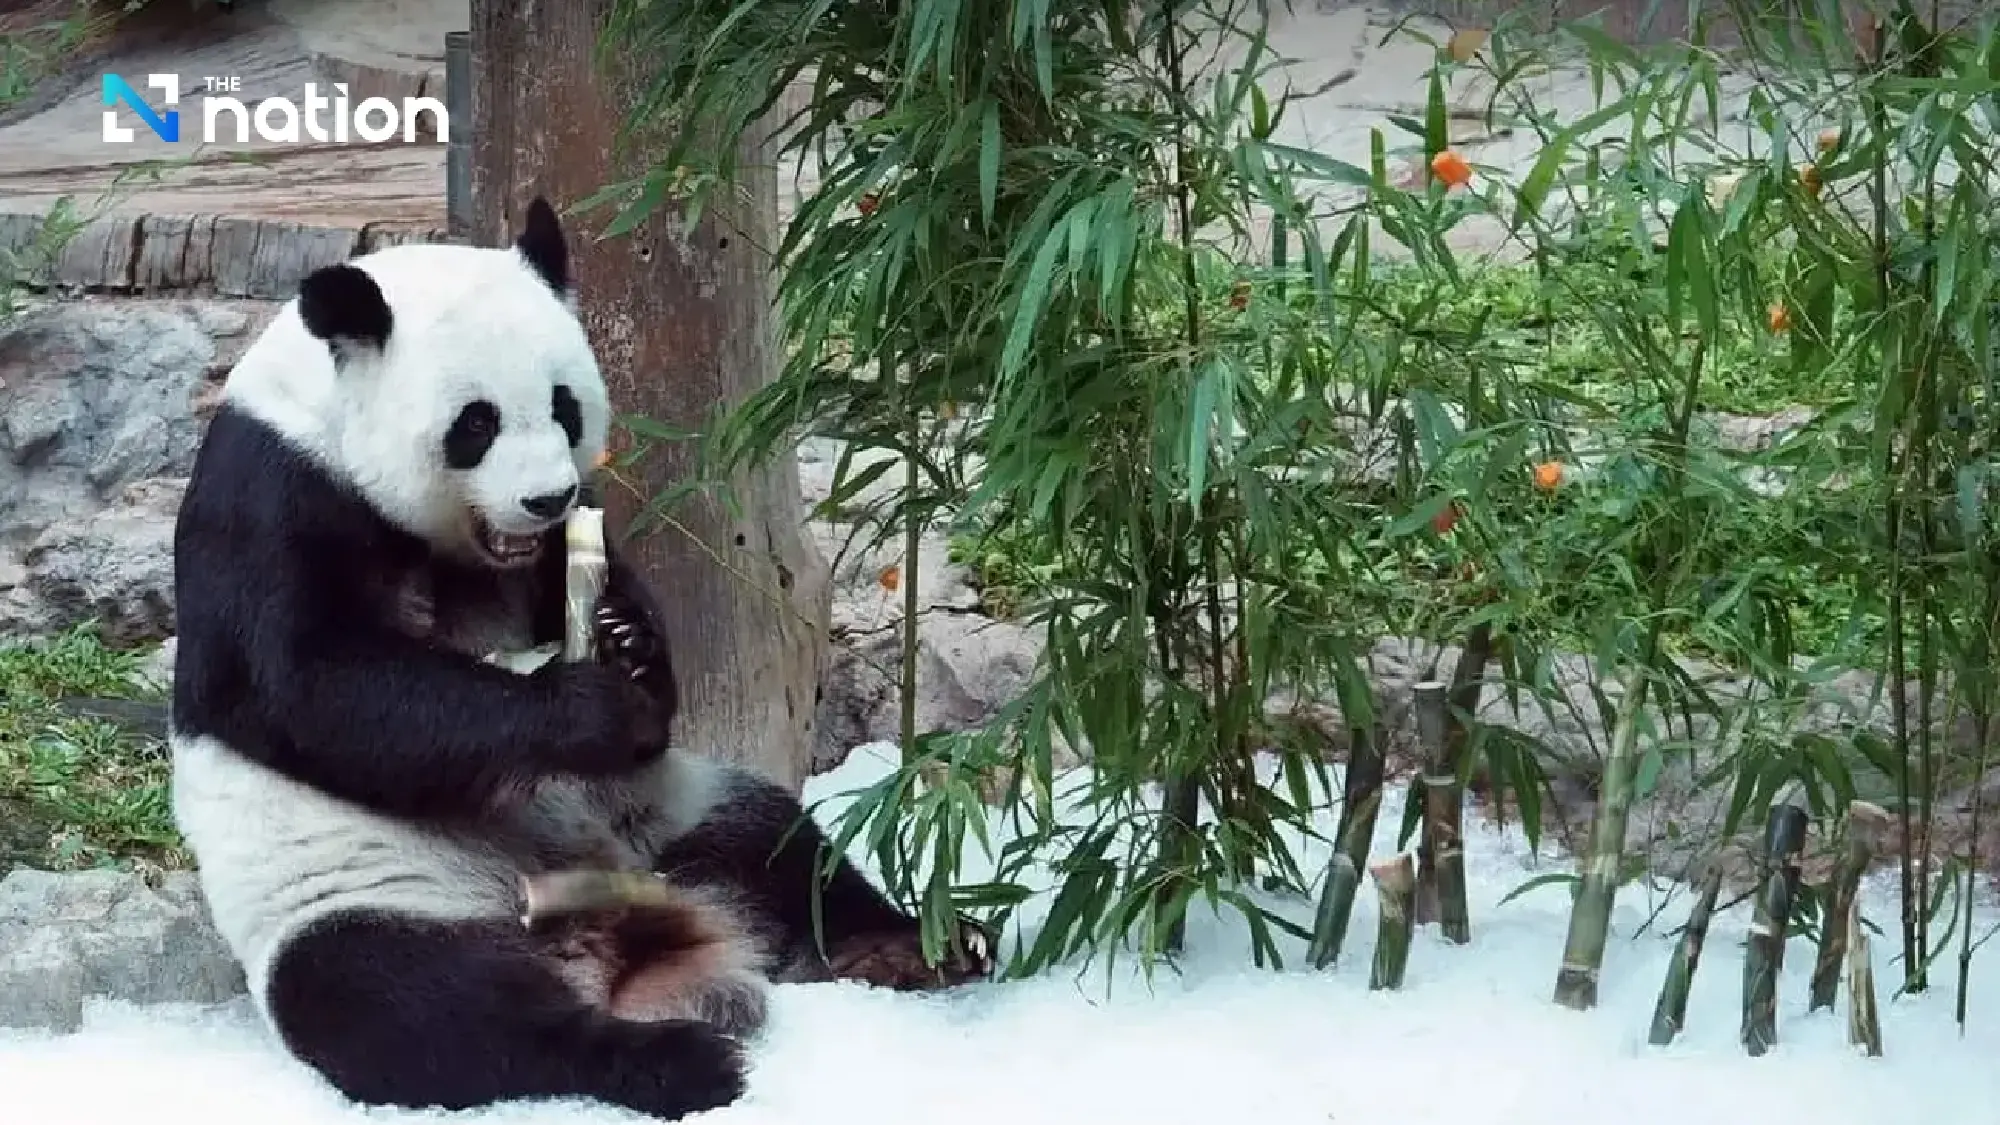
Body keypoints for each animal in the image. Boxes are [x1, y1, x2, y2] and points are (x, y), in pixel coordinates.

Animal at [167, 197, 989, 1122]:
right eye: (475, 423)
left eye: (564, 406)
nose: (545, 497)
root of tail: (616, 948)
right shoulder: (274, 495)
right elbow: (313, 684)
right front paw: (592, 708)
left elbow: (597, 585)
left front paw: (632, 643)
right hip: (367, 895)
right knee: (417, 1007)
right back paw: (674, 1062)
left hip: (671, 816)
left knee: (782, 846)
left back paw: (905, 947)